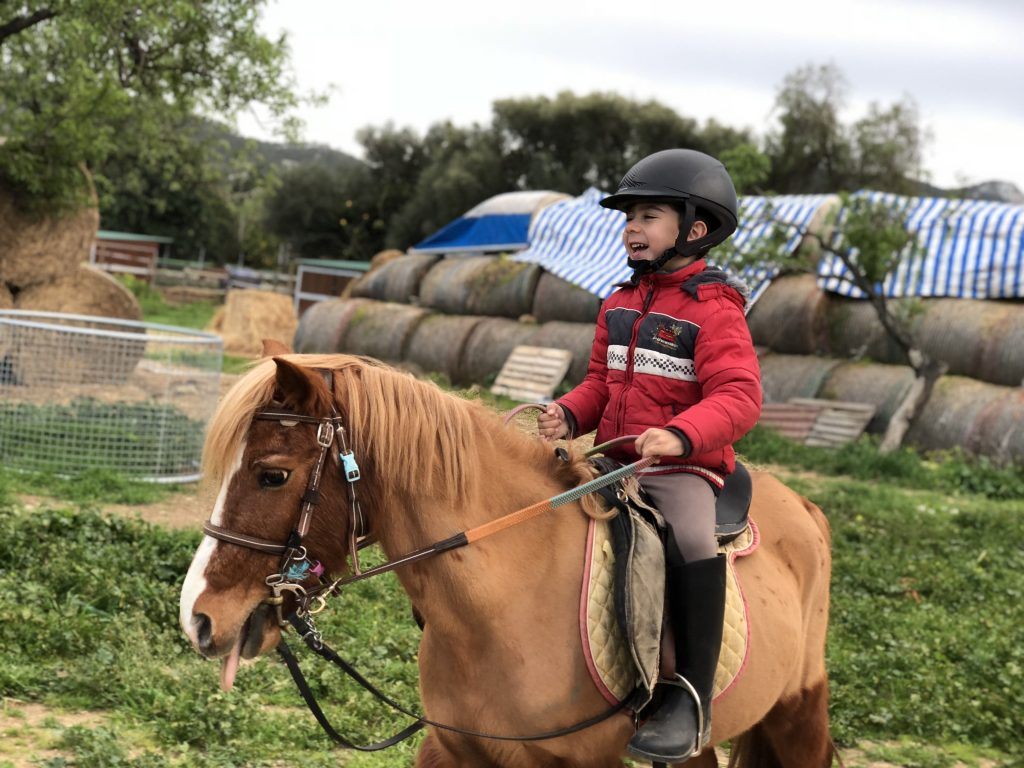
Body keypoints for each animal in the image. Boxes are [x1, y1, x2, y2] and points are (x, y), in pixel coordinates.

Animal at [179, 352, 834, 768]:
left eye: (272, 475)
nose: (198, 618)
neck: (506, 605)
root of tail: (805, 506)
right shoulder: (451, 749)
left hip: (799, 712)